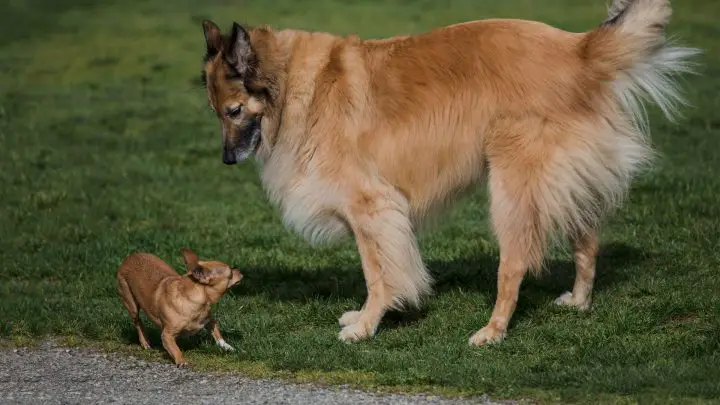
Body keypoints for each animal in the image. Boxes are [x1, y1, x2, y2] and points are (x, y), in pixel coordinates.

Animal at [115, 246, 243, 366]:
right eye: (230, 274)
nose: (239, 269)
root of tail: (130, 257)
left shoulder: (209, 320)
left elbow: (217, 334)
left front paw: (227, 347)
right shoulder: (167, 335)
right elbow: (175, 349)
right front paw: (181, 361)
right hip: (130, 302)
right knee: (137, 321)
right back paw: (145, 342)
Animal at [195, 0, 696, 346]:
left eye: (234, 111)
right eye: (216, 113)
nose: (227, 160)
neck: (299, 84)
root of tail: (579, 50)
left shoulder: (372, 207)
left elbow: (378, 272)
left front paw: (366, 325)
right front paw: (364, 318)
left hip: (512, 188)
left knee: (514, 266)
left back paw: (493, 331)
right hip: (563, 180)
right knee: (588, 241)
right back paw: (579, 302)